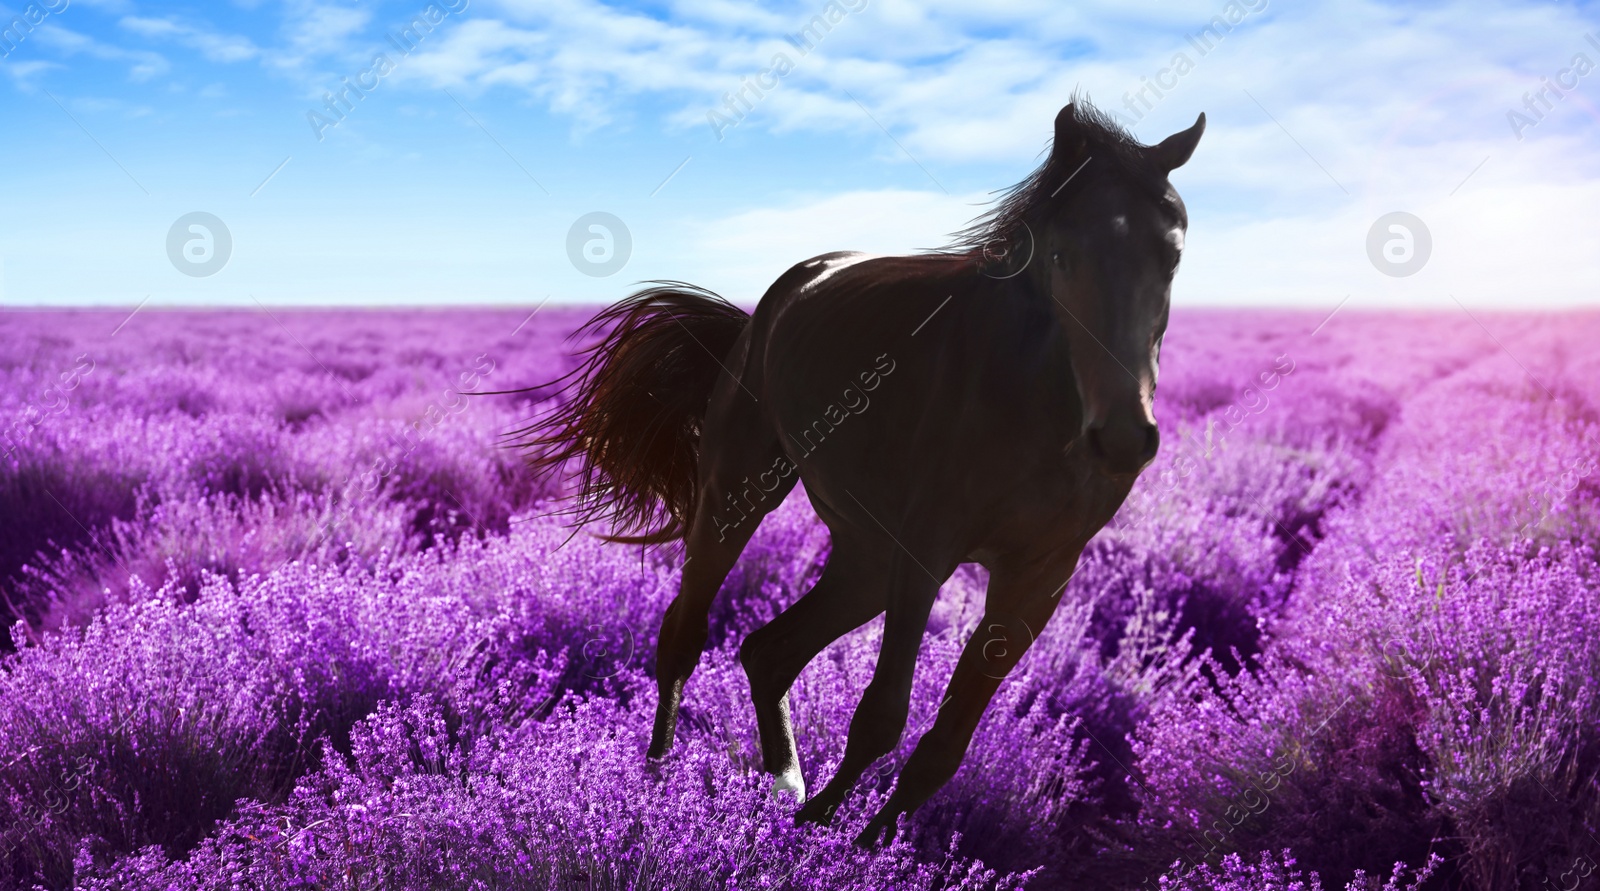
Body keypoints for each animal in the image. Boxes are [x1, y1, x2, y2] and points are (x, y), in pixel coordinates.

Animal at [518, 100, 1203, 844]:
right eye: (1060, 254)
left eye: (1172, 254)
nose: (1124, 438)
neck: (1035, 404)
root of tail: (765, 310)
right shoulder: (925, 550)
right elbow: (882, 716)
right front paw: (820, 835)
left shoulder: (1038, 578)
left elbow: (944, 746)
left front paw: (864, 841)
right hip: (742, 491)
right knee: (685, 629)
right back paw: (655, 782)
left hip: (866, 557)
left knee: (769, 649)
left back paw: (783, 778)